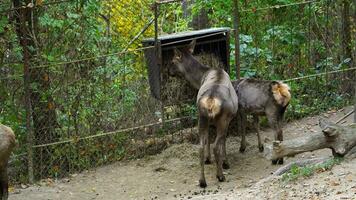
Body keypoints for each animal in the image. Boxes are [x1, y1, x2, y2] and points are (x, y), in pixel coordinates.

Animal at [168, 40, 238, 188]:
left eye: (172, 61)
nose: (168, 71)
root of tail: (211, 101)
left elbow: (207, 140)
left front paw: (208, 159)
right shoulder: (227, 120)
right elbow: (222, 142)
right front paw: (225, 162)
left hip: (201, 117)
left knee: (200, 147)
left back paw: (202, 181)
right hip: (222, 119)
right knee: (217, 145)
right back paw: (220, 175)